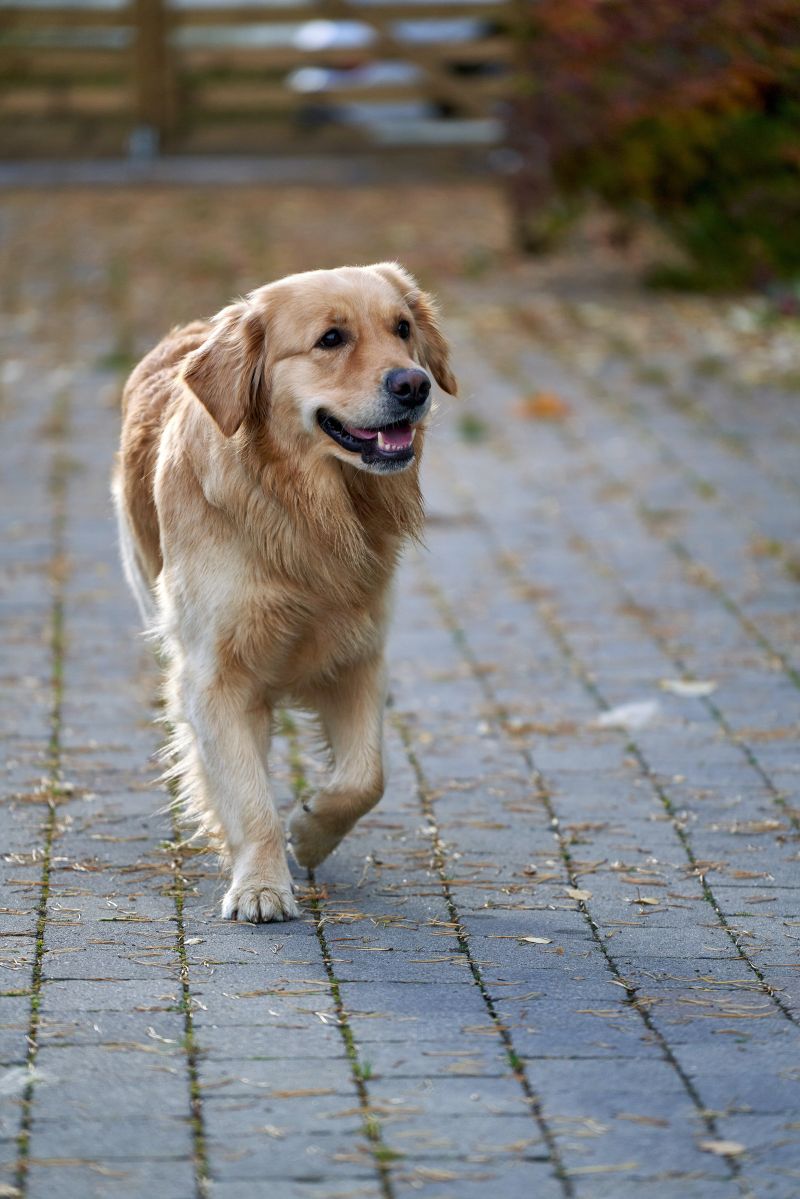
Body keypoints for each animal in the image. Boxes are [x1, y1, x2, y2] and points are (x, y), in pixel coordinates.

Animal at [112, 260, 455, 916]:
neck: (302, 506)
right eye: (330, 339)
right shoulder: (214, 677)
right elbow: (249, 800)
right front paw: (261, 886)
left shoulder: (360, 655)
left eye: (402, 328)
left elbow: (365, 777)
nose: (415, 384)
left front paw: (311, 829)